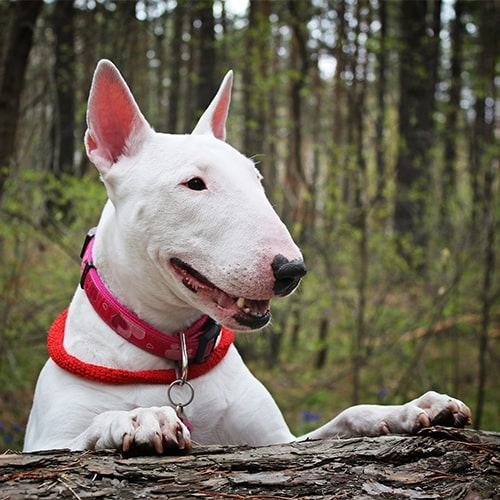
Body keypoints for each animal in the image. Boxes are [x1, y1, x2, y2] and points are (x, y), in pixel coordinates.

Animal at [24, 60, 468, 456]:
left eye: (256, 179)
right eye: (194, 184)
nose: (292, 270)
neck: (173, 358)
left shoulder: (278, 441)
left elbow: (345, 416)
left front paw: (408, 409)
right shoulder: (45, 442)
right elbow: (85, 432)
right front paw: (137, 417)